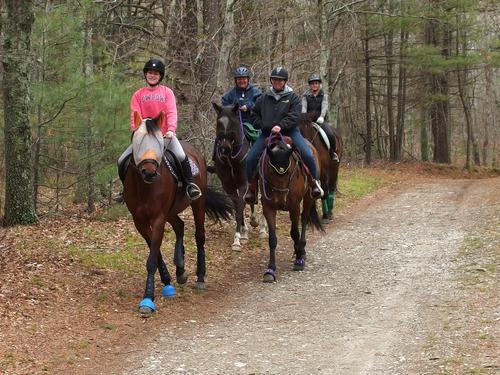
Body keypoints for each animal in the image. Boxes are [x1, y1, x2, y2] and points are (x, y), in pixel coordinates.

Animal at [123, 111, 232, 318]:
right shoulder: (139, 221)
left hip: (197, 203)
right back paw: (180, 270)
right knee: (180, 226)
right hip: (171, 211)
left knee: (199, 236)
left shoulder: (158, 218)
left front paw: (148, 299)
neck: (144, 187)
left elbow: (152, 258)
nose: (149, 172)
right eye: (137, 140)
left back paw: (200, 277)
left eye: (159, 141)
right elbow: (155, 252)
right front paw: (167, 281)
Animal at [210, 102, 266, 253]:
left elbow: (240, 206)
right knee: (252, 199)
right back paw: (253, 221)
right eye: (219, 122)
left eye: (233, 123)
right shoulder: (228, 186)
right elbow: (237, 207)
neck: (231, 159)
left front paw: (237, 240)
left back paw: (263, 228)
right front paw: (243, 232)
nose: (224, 148)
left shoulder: (242, 184)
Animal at [258, 134, 324, 284]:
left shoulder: (294, 206)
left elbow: (294, 233)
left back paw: (301, 250)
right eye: (271, 171)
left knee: (304, 219)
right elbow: (272, 239)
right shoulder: (268, 208)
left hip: (309, 197)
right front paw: (270, 270)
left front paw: (299, 260)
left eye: (289, 172)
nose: (281, 199)